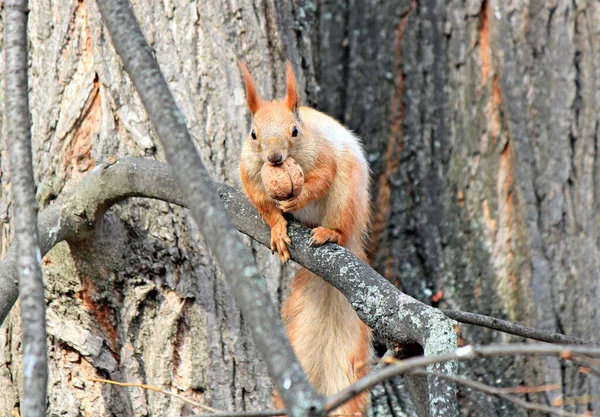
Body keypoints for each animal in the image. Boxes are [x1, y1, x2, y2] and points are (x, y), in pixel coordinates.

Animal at [238, 60, 372, 414]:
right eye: (253, 134)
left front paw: (296, 198)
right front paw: (277, 229)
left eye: (295, 131)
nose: (274, 158)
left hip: (346, 195)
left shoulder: (323, 156)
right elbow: (263, 204)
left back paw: (329, 232)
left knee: (340, 219)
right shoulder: (249, 175)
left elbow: (322, 177)